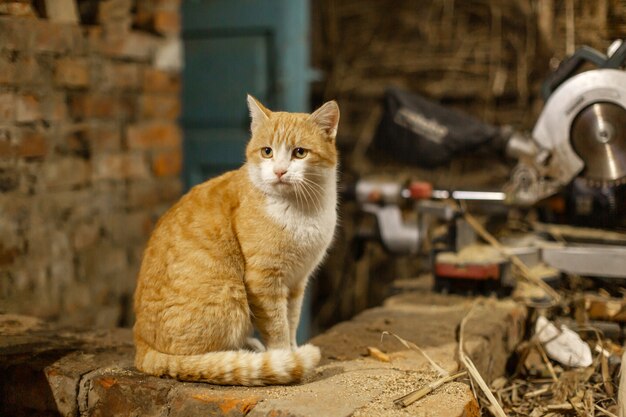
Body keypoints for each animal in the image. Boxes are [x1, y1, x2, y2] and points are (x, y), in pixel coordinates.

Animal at [131, 96, 336, 386]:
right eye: (267, 152)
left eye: (299, 152)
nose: (280, 171)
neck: (300, 210)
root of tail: (141, 343)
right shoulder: (264, 280)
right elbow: (277, 326)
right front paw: (284, 356)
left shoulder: (297, 281)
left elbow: (292, 320)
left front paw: (293, 349)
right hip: (230, 296)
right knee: (202, 358)